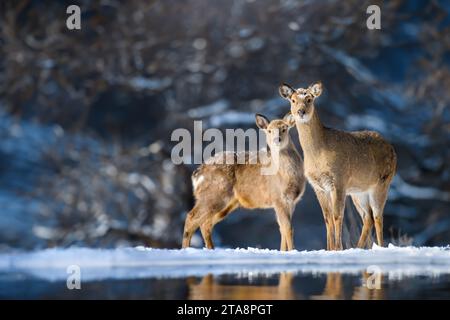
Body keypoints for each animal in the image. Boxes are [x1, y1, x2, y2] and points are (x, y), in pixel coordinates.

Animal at [180, 114, 306, 251]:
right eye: (269, 130)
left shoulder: (291, 201)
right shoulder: (278, 197)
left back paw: (210, 249)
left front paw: (283, 251)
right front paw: (293, 251)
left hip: (227, 203)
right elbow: (288, 228)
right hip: (213, 194)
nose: (276, 140)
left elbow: (282, 229)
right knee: (191, 217)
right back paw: (185, 249)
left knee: (206, 223)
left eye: (284, 128)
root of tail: (197, 173)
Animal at [280, 82, 396, 250]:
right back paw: (358, 247)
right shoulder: (318, 186)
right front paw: (329, 248)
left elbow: (337, 215)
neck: (317, 155)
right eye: (293, 100)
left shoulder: (339, 179)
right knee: (367, 217)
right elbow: (327, 217)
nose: (301, 111)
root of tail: (392, 148)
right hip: (358, 191)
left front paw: (338, 248)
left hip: (382, 183)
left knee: (377, 216)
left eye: (309, 99)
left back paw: (380, 247)